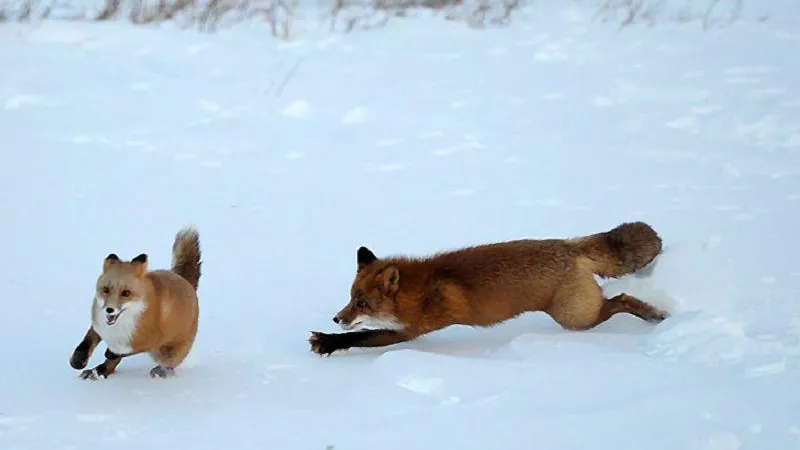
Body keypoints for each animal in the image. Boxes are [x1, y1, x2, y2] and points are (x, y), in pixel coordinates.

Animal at [69, 227, 203, 378]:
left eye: (126, 293)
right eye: (106, 290)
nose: (109, 310)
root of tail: (185, 281)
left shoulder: (149, 340)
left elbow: (125, 351)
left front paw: (110, 353)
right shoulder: (99, 326)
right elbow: (86, 343)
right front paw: (77, 361)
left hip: (169, 353)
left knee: (168, 364)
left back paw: (160, 371)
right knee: (111, 365)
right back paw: (98, 371)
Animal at [310, 221, 664, 356]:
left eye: (362, 303)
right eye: (350, 298)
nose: (336, 319)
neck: (420, 288)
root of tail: (568, 246)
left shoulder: (410, 330)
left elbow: (361, 337)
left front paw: (327, 341)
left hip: (575, 319)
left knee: (622, 299)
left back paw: (655, 314)